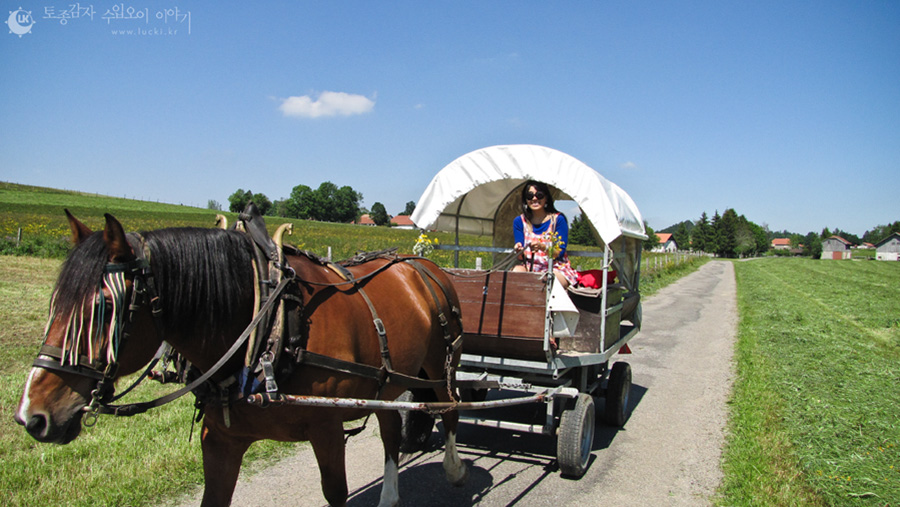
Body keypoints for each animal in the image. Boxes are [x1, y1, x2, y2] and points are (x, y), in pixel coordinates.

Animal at [14, 211, 468, 507]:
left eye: (105, 308)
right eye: (55, 304)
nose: (32, 415)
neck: (268, 327)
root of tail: (423, 264)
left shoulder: (326, 430)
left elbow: (336, 493)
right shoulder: (220, 440)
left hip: (440, 364)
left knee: (450, 407)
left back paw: (454, 468)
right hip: (390, 380)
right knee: (391, 430)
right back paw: (390, 496)